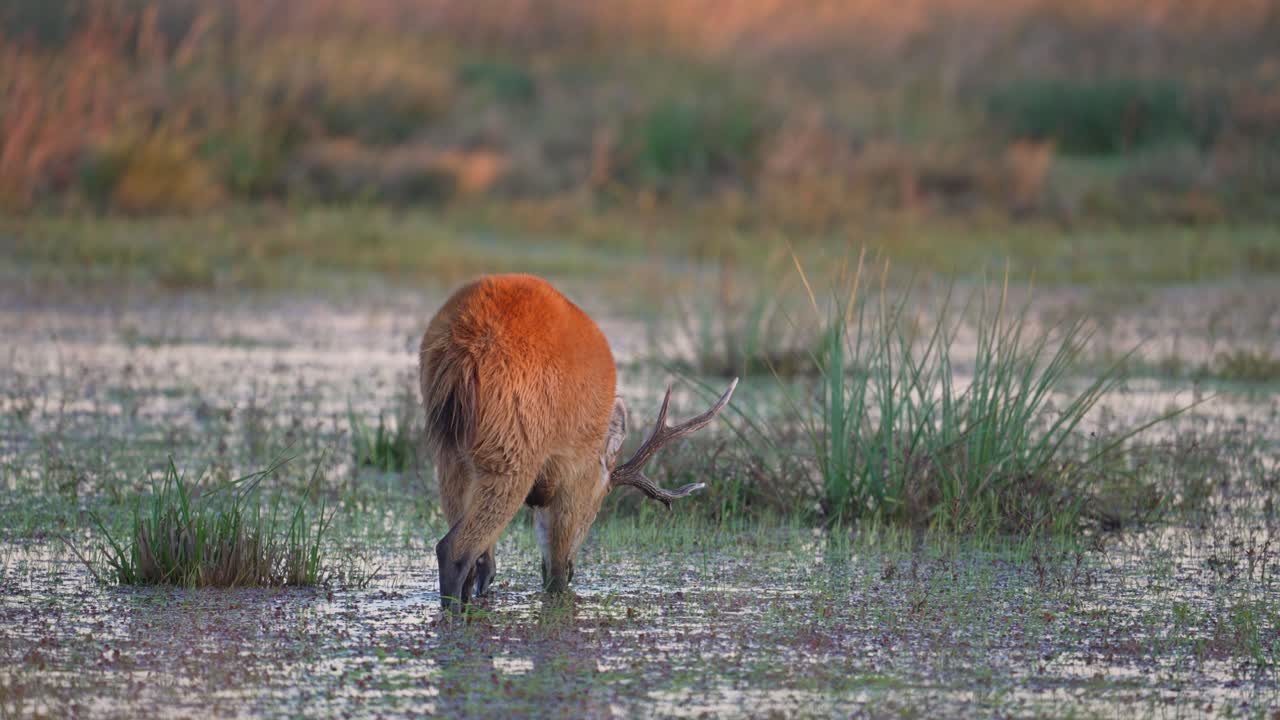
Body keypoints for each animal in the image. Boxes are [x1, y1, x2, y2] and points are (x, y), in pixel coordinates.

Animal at [419, 274, 737, 610]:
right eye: (596, 508)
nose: (575, 569)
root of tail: (467, 343)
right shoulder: (576, 472)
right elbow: (555, 570)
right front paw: (560, 588)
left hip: (448, 447)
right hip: (514, 443)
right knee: (453, 549)